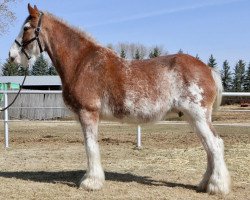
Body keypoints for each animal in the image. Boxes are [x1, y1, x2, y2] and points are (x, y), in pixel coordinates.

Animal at [8, 4, 230, 195]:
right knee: (209, 148)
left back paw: (217, 187)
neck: (82, 63)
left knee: (215, 144)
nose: (11, 56)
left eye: (26, 28)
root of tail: (207, 69)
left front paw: (91, 182)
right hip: (194, 119)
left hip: (198, 116)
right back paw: (204, 184)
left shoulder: (88, 113)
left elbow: (90, 147)